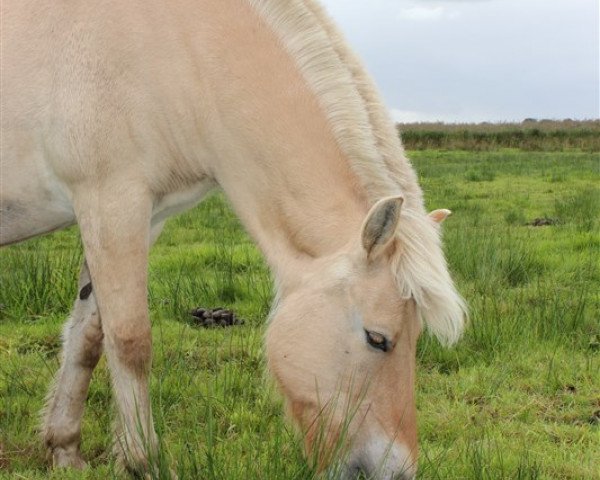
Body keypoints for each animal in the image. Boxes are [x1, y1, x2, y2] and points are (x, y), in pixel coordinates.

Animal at [0, 0, 466, 476]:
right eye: (377, 339)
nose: (395, 471)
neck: (176, 48)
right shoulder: (110, 201)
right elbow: (131, 341)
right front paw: (143, 461)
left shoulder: (145, 217)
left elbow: (89, 336)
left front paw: (64, 449)